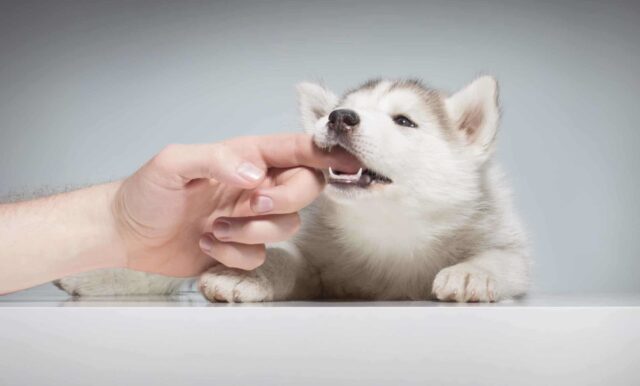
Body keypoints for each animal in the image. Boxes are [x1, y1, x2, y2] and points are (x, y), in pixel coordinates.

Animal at [58, 77, 528, 304]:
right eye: (341, 108)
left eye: (404, 121)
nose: (339, 117)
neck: (391, 228)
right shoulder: (316, 261)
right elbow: (284, 259)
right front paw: (248, 274)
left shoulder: (504, 238)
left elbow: (501, 259)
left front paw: (472, 273)